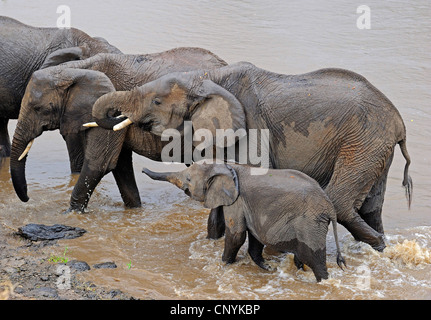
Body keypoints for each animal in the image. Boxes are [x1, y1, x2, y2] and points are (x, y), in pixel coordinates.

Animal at [10, 47, 228, 211]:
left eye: (40, 109)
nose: (27, 198)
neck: (75, 69)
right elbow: (120, 164)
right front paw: (134, 211)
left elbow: (100, 162)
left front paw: (71, 214)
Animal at [92, 60, 416, 250]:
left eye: (157, 101)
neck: (205, 78)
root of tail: (399, 122)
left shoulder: (251, 126)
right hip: (375, 146)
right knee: (372, 206)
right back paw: (381, 247)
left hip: (363, 139)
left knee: (340, 200)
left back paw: (378, 244)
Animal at [143, 164, 346, 282]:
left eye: (189, 179)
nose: (143, 170)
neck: (227, 166)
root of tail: (330, 208)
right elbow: (254, 235)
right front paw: (267, 267)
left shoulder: (237, 200)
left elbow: (237, 235)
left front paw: (224, 265)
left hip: (310, 224)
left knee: (314, 258)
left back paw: (323, 281)